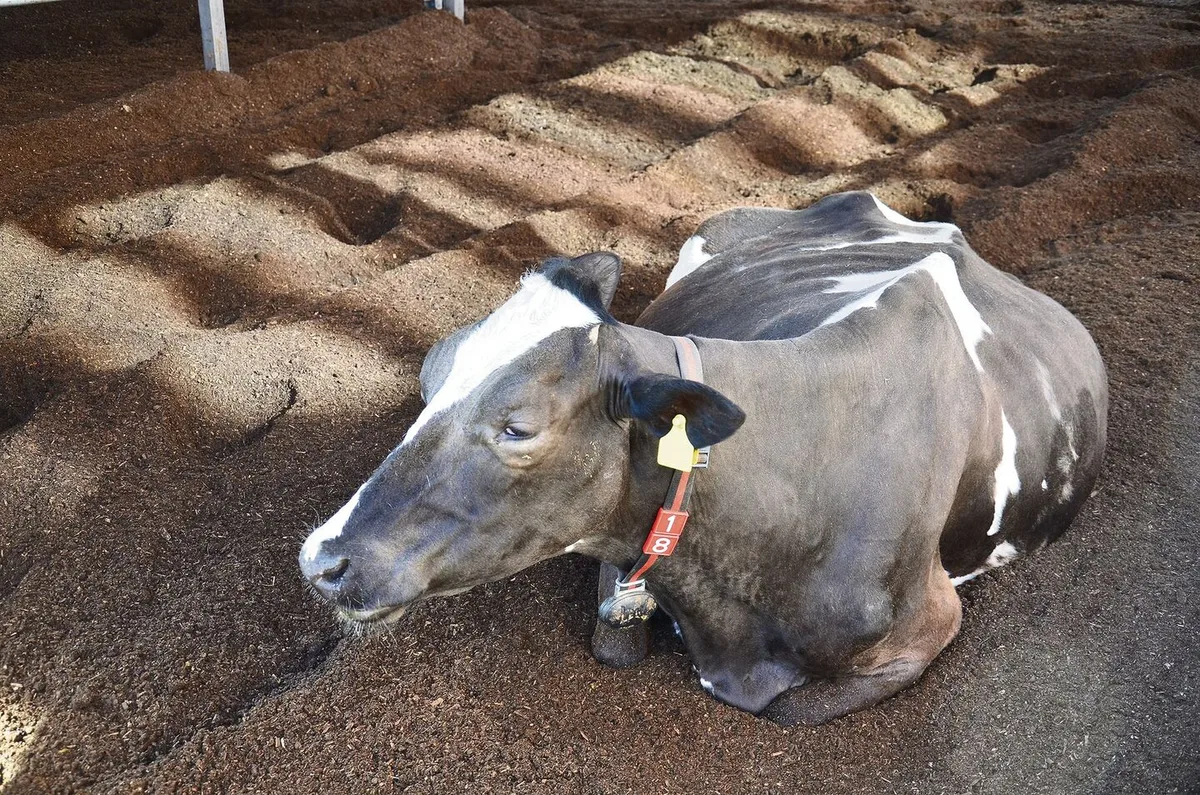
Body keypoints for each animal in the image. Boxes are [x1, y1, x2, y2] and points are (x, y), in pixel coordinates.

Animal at [299, 190, 1107, 726]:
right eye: (432, 376)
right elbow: (616, 640)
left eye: (518, 427)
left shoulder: (931, 624)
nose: (321, 559)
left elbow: (787, 711)